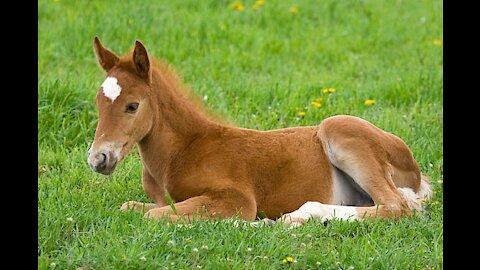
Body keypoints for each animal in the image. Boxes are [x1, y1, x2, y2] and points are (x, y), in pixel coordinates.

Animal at [88, 37, 434, 225]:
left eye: (132, 105)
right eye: (98, 102)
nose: (98, 158)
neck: (182, 151)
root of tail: (417, 172)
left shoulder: (237, 198)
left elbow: (153, 216)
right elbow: (132, 208)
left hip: (337, 127)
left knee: (397, 207)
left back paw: (297, 216)